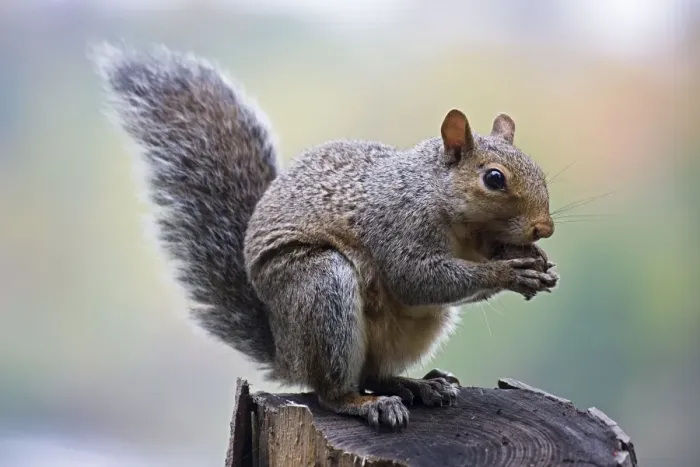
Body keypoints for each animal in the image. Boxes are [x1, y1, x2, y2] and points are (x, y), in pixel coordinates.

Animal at [93, 43, 558, 431]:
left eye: (538, 169)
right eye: (494, 179)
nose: (544, 228)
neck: (446, 208)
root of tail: (286, 353)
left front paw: (538, 263)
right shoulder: (396, 225)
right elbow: (416, 278)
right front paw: (510, 272)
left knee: (375, 373)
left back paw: (420, 385)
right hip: (320, 289)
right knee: (331, 392)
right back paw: (366, 403)